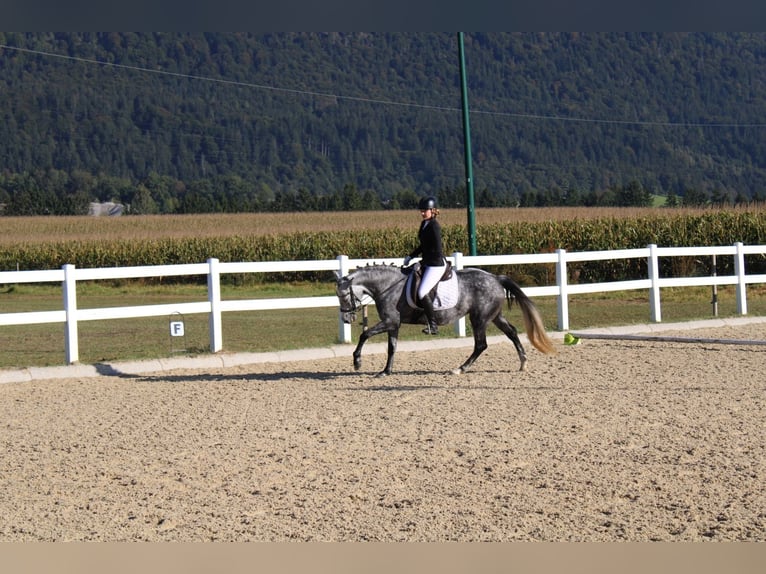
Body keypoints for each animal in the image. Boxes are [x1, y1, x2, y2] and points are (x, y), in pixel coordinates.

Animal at [335, 263, 556, 376]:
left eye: (344, 295)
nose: (346, 318)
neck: (388, 285)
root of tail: (495, 278)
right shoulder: (393, 324)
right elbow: (392, 348)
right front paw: (385, 371)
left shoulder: (390, 322)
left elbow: (364, 334)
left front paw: (357, 362)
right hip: (493, 316)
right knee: (511, 332)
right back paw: (523, 363)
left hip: (479, 318)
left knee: (481, 344)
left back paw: (460, 369)